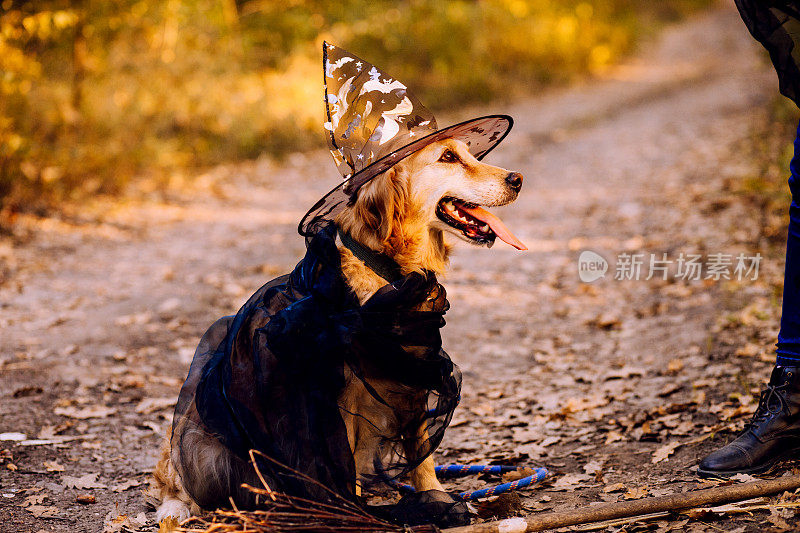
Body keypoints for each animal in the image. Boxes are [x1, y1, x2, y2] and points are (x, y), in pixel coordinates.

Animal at [150, 135, 524, 520]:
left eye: (466, 152)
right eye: (448, 157)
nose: (517, 179)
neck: (389, 276)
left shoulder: (415, 374)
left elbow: (422, 457)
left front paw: (435, 498)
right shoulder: (337, 398)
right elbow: (342, 461)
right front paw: (355, 511)